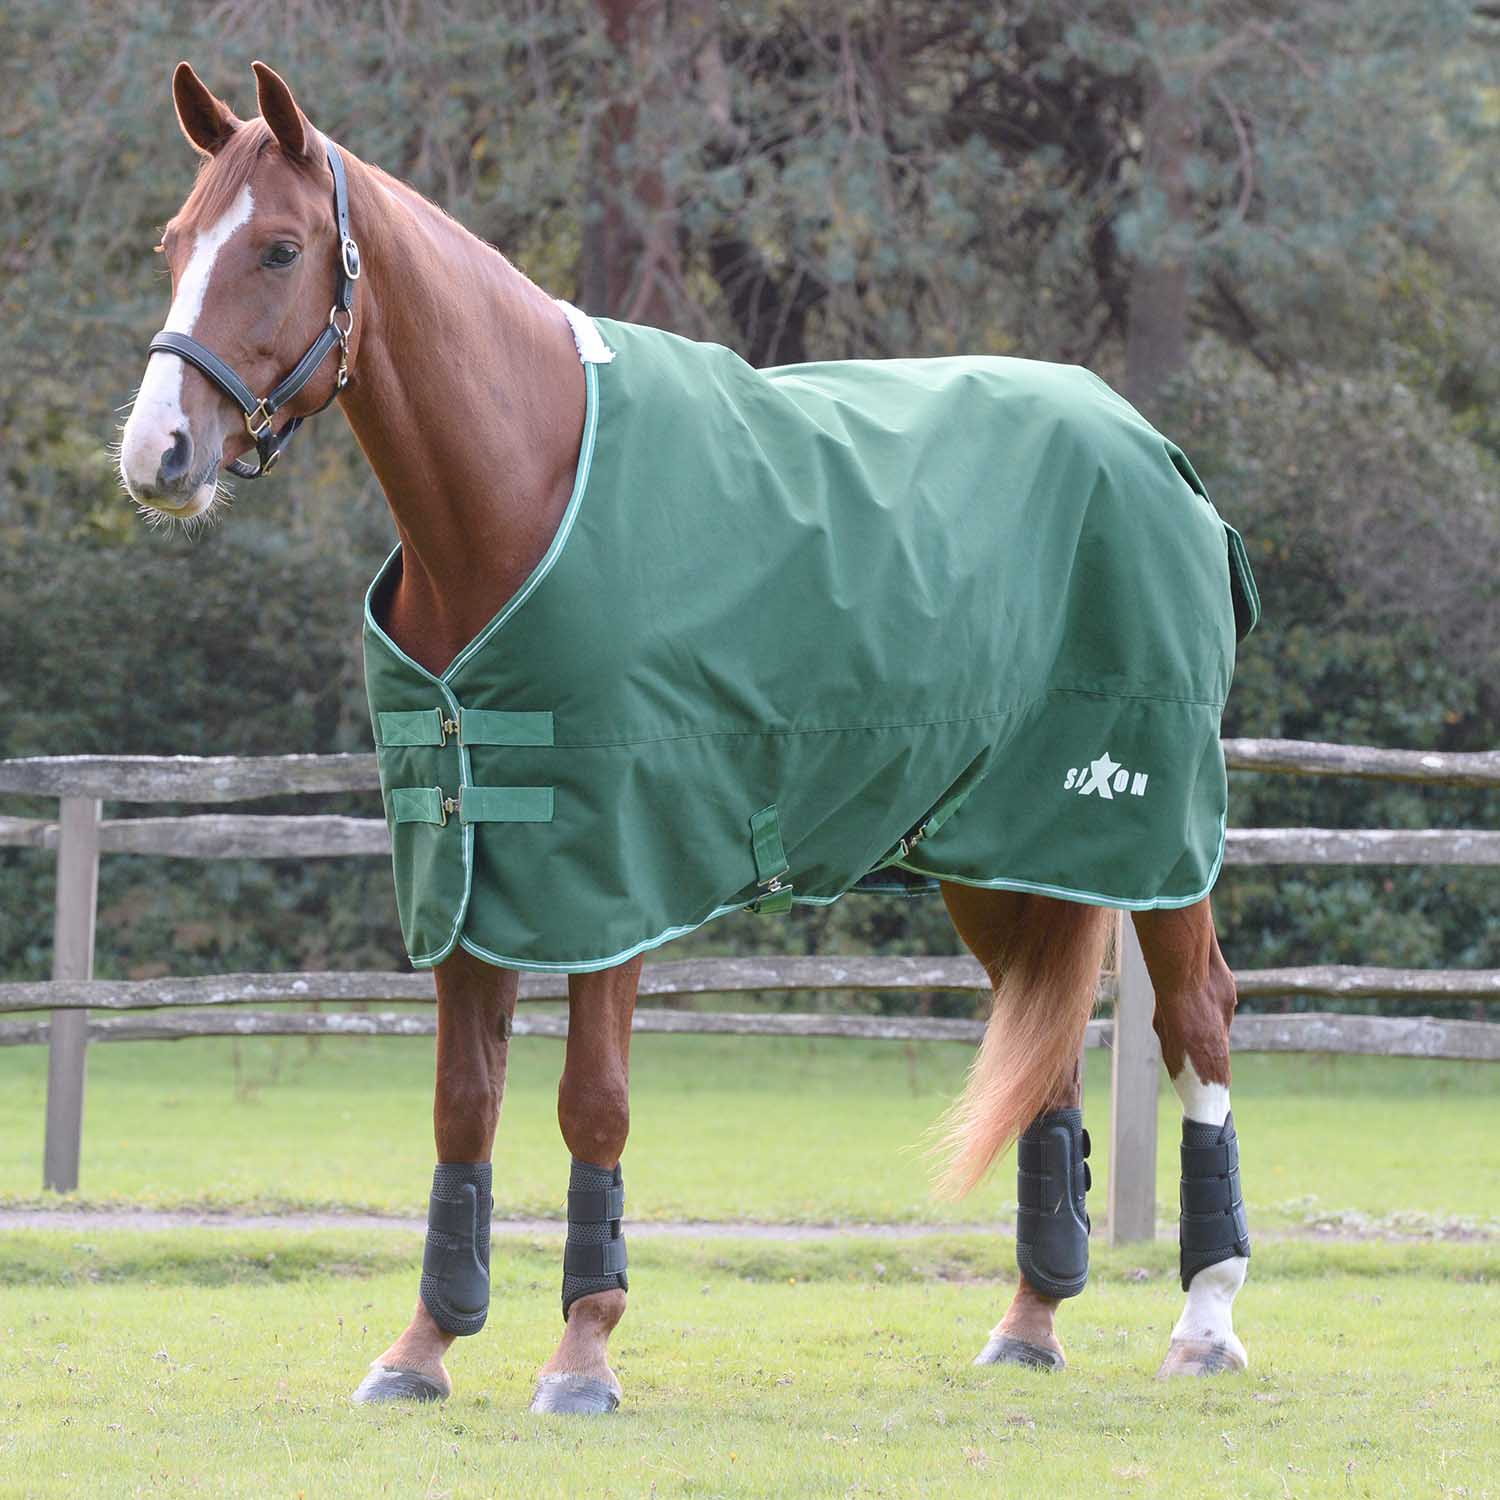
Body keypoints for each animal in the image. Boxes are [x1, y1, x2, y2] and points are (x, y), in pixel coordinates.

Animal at [118, 62, 1253, 1414]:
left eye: (281, 249)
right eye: (173, 244)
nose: (158, 455)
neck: (521, 486)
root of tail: (1158, 452)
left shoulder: (613, 873)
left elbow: (592, 1105)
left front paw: (583, 1353)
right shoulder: (464, 864)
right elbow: (463, 1109)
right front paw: (424, 1347)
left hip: (1144, 834)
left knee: (1198, 1020)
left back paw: (1205, 1319)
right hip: (997, 853)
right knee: (1054, 1056)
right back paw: (1030, 1322)